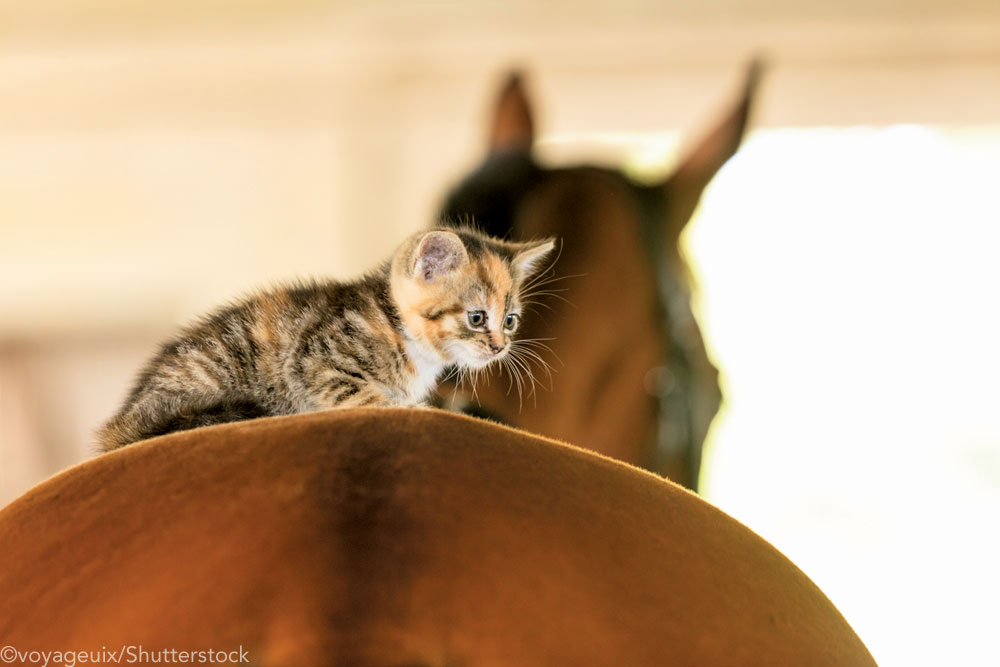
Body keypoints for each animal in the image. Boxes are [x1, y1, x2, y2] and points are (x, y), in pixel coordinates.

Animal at [97, 227, 556, 452]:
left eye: (510, 320)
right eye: (477, 318)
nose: (499, 346)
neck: (396, 325)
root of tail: (118, 427)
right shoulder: (315, 364)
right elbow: (372, 398)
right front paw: (422, 410)